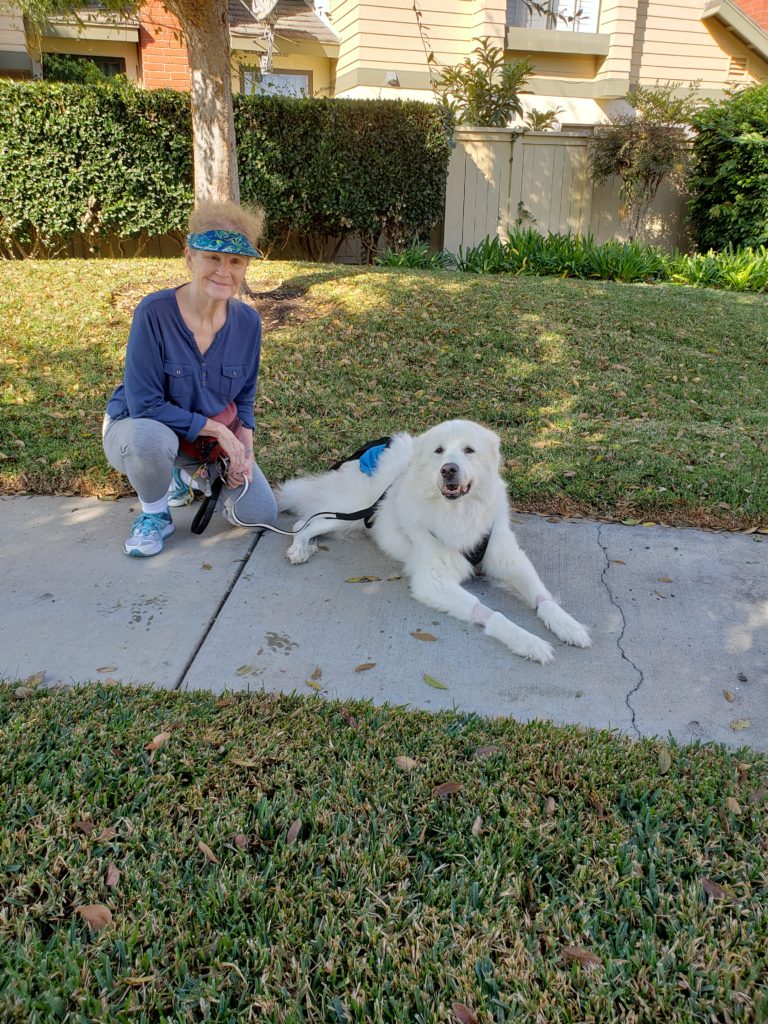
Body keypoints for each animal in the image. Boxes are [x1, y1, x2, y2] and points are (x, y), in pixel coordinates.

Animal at [278, 417, 593, 663]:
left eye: (469, 450)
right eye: (439, 450)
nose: (448, 469)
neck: (458, 512)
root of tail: (369, 449)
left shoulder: (509, 559)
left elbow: (542, 596)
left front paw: (567, 624)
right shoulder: (433, 581)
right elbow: (491, 613)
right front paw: (528, 641)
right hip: (353, 512)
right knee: (307, 522)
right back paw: (299, 548)